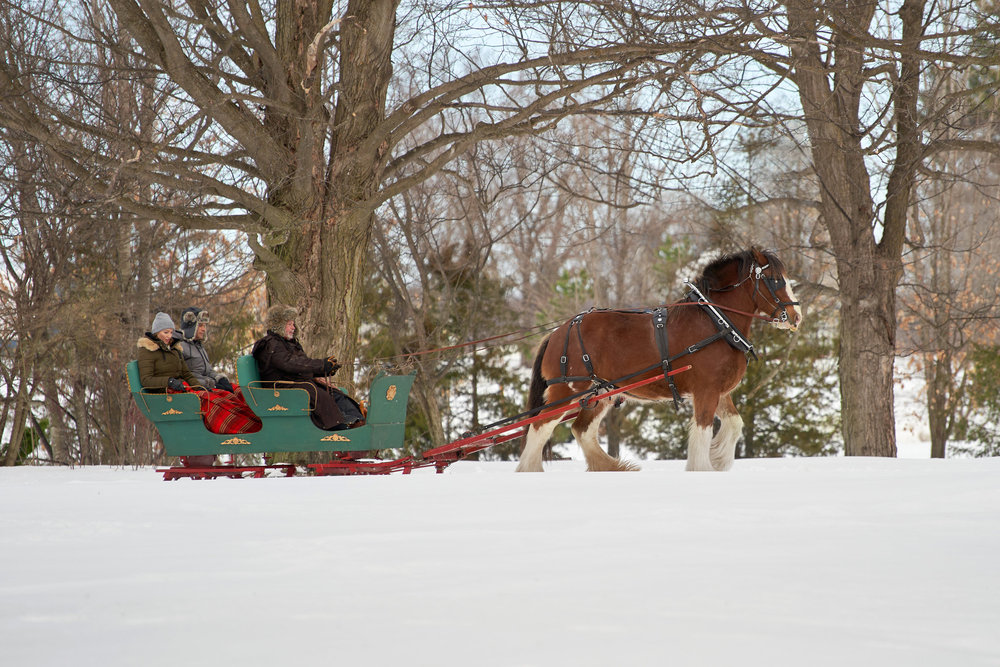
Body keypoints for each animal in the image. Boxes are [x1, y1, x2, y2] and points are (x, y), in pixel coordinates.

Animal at [520, 248, 800, 472]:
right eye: (775, 280)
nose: (796, 316)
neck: (715, 322)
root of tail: (557, 333)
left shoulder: (718, 391)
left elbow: (734, 423)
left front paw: (718, 460)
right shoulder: (706, 390)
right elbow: (703, 429)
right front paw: (703, 468)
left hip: (600, 393)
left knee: (581, 430)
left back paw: (611, 467)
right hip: (566, 390)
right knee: (539, 426)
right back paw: (530, 471)